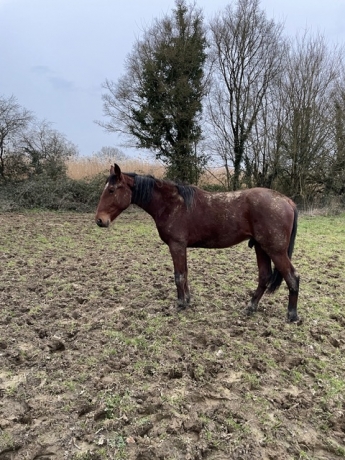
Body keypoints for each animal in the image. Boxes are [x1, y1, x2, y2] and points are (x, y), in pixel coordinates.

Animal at [96, 164, 298, 322]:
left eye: (111, 190)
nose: (99, 220)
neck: (172, 205)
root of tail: (287, 201)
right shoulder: (181, 247)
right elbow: (185, 273)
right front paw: (187, 300)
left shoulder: (176, 245)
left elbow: (179, 275)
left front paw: (180, 304)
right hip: (261, 247)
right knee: (264, 276)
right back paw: (251, 307)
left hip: (275, 251)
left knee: (292, 278)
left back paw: (292, 315)